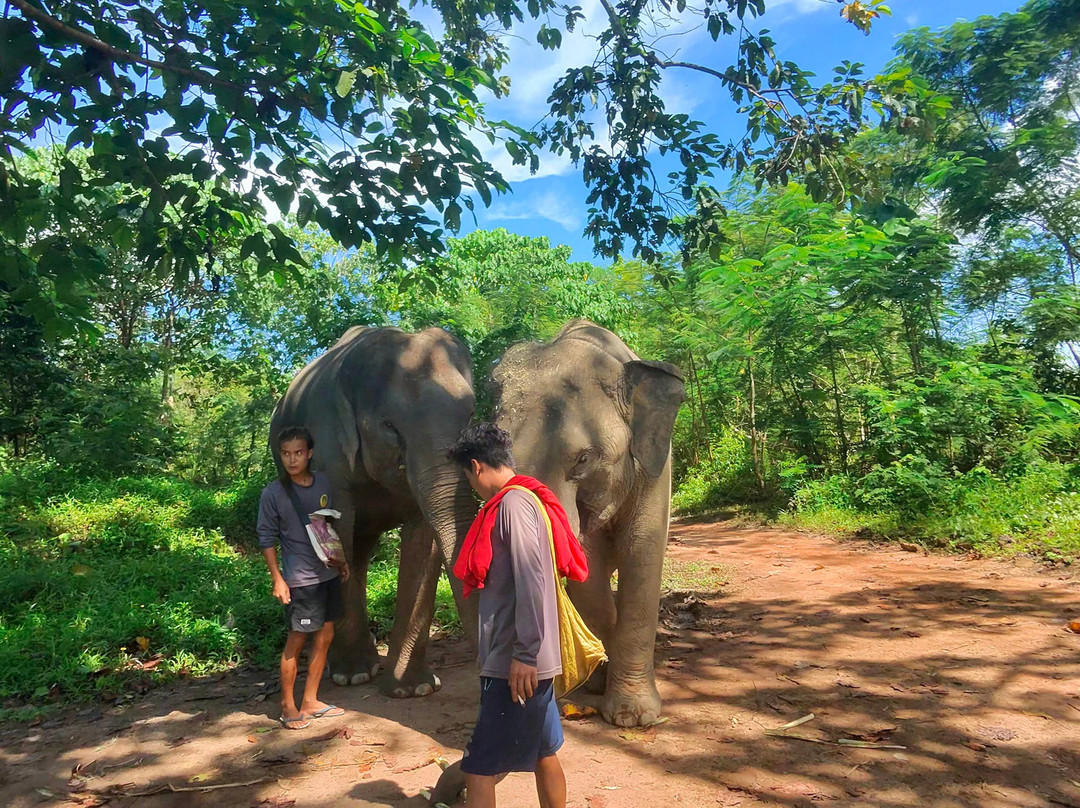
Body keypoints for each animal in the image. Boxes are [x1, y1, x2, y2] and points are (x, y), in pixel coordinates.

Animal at [270, 325, 478, 698]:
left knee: (361, 549)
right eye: (390, 426)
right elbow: (334, 531)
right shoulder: (327, 447)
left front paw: (414, 689)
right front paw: (352, 676)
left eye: (470, 415)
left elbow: (423, 540)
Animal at [492, 319, 685, 727]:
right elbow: (588, 570)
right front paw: (601, 675)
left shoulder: (654, 472)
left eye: (583, 460)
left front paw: (633, 717)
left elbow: (642, 557)